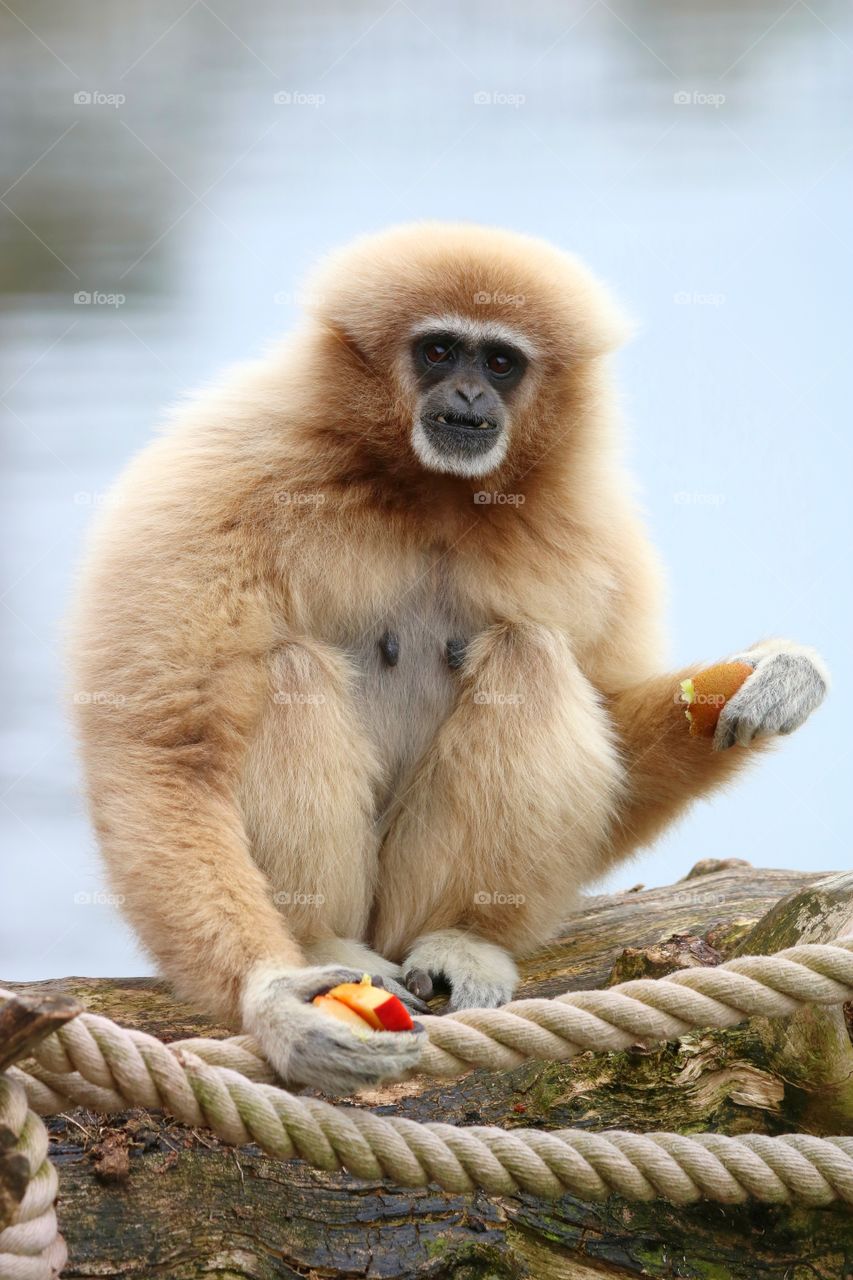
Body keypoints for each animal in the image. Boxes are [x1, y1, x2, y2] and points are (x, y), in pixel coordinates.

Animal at [68, 222, 828, 1094]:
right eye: (437, 351)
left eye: (499, 362)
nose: (467, 398)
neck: (428, 489)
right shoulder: (223, 477)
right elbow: (169, 751)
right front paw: (275, 1002)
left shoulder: (594, 526)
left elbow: (613, 731)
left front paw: (776, 674)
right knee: (288, 670)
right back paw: (319, 940)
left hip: (406, 901)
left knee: (529, 652)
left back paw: (465, 936)